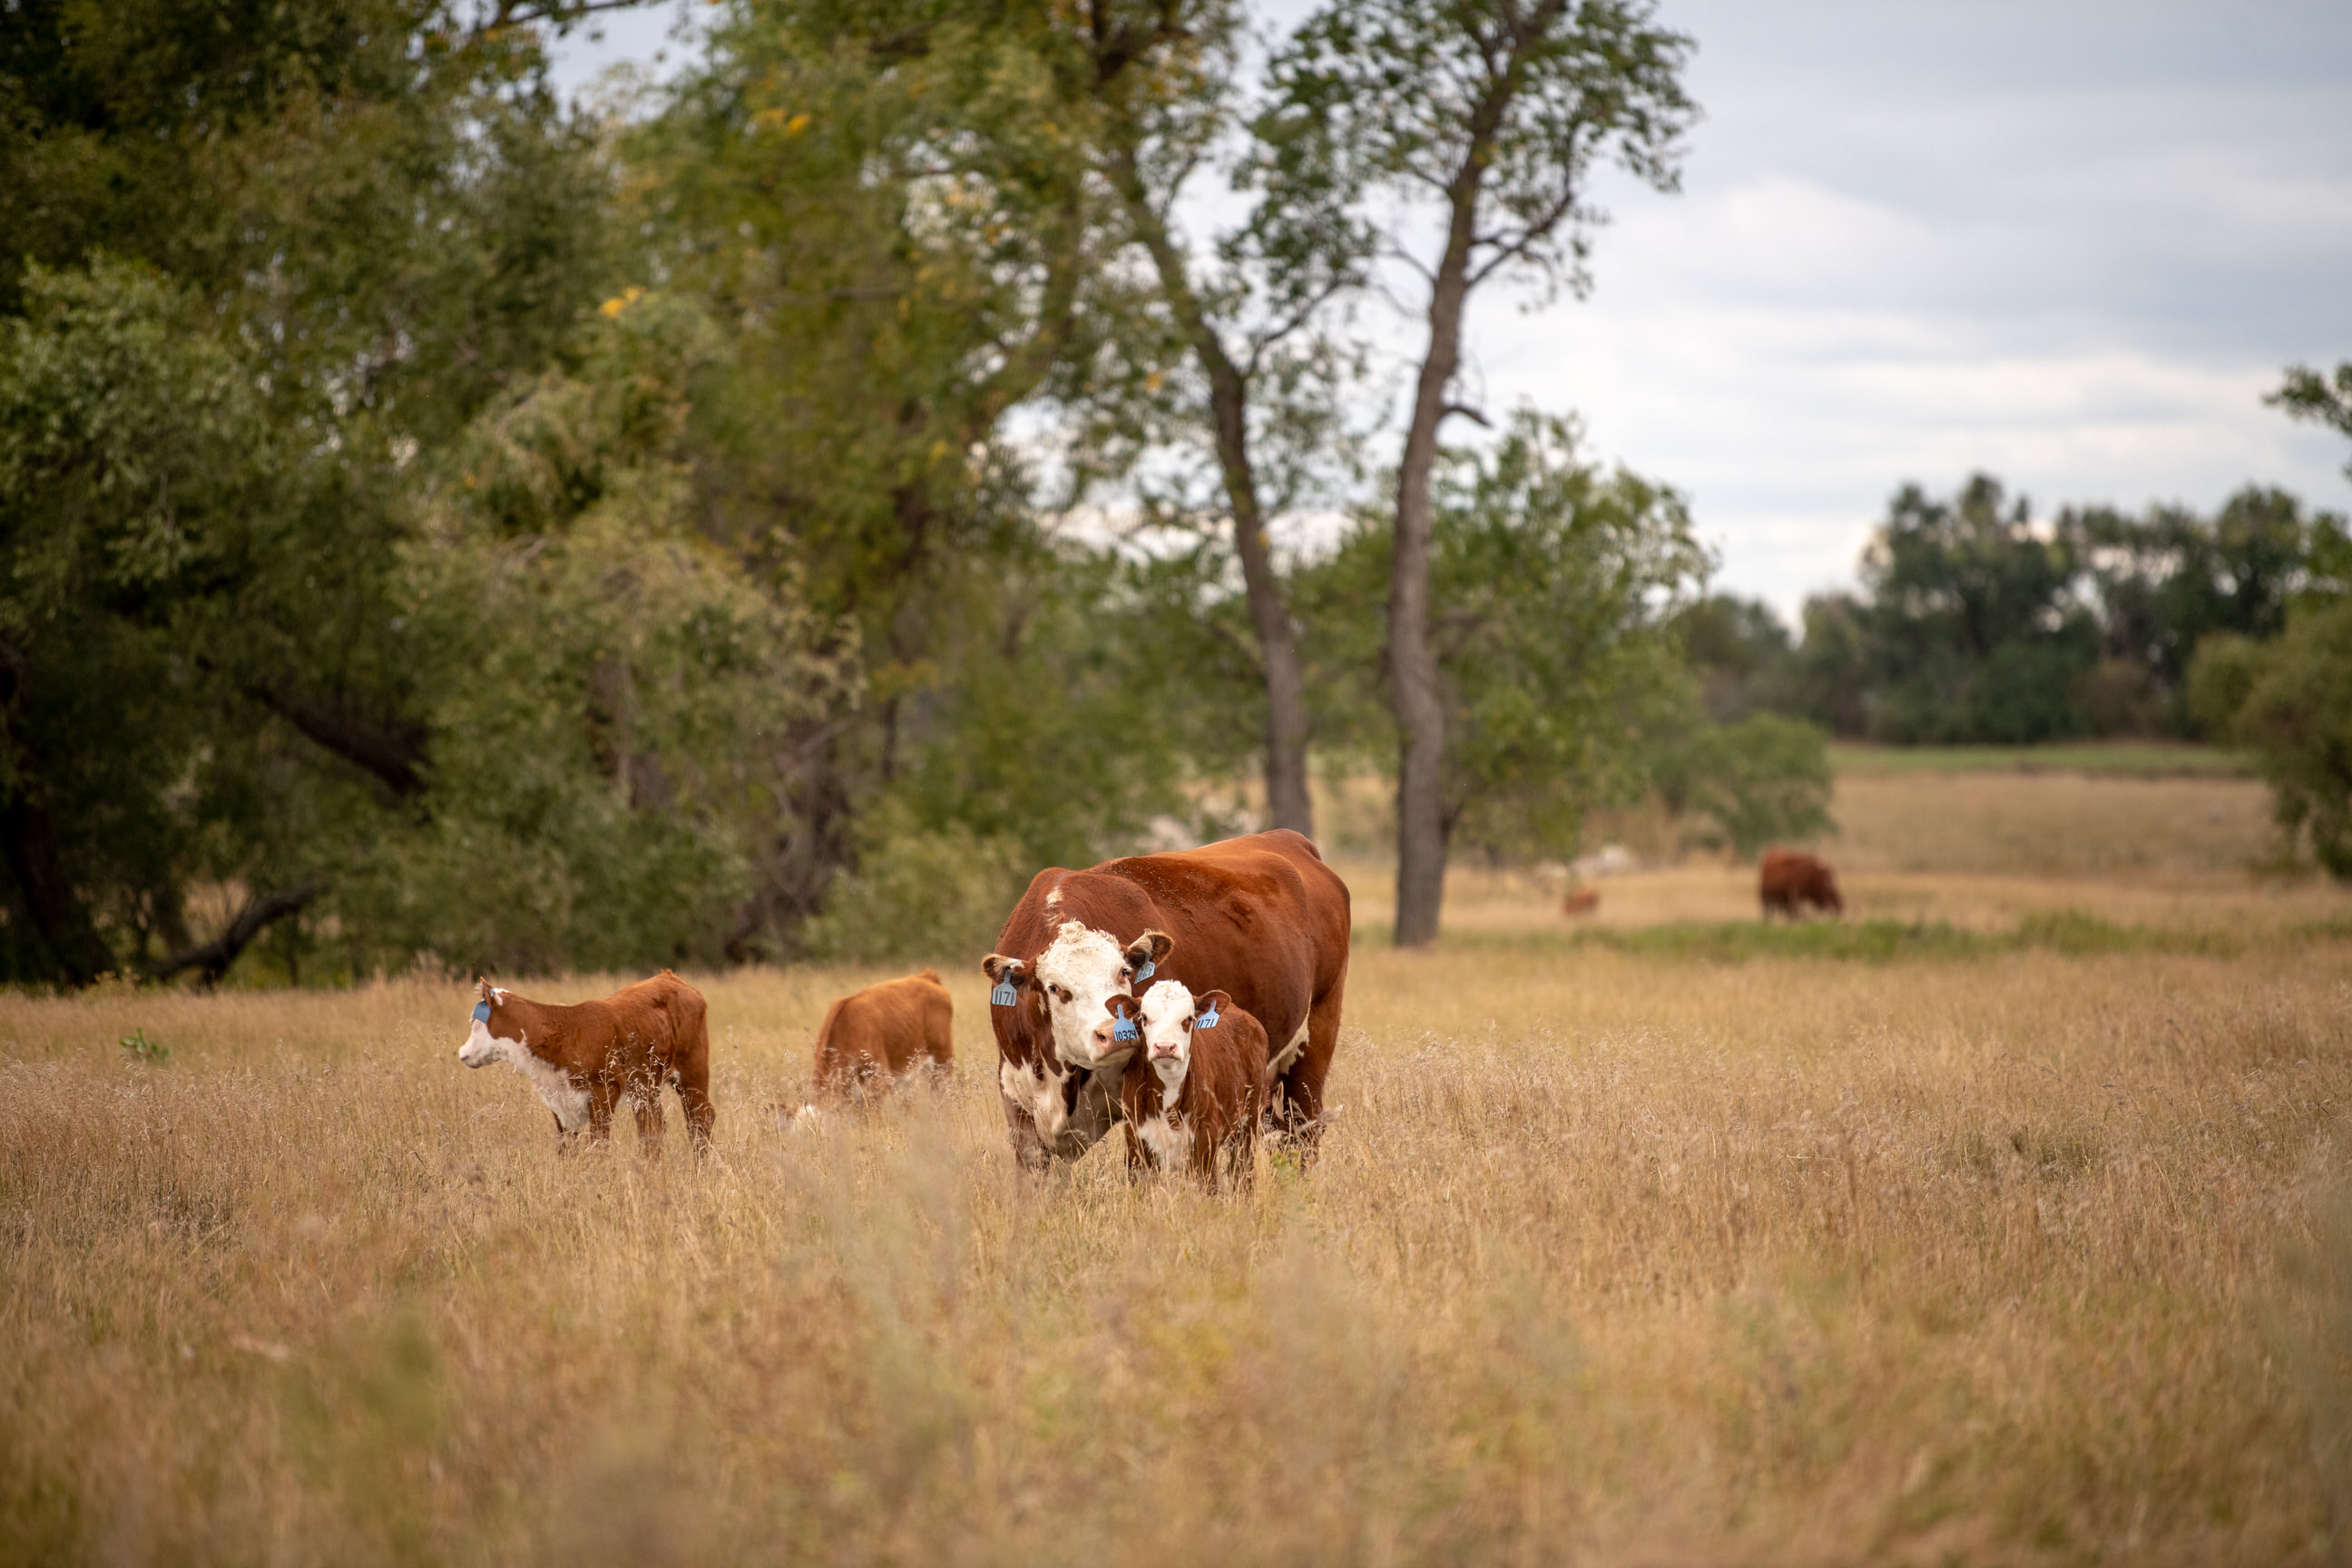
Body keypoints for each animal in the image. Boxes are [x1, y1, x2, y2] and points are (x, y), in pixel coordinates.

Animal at [454, 968, 710, 1152]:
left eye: (474, 1022)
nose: (462, 1053)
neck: (566, 1033)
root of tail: (670, 977)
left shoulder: (605, 1091)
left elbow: (598, 1145)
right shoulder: (559, 1101)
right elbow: (566, 1149)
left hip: (692, 1073)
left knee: (701, 1120)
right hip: (646, 1087)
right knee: (652, 1127)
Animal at [974, 827, 1345, 1171]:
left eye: (1124, 972)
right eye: (1054, 988)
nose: (1115, 1033)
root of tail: (1288, 838)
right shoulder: (1017, 1098)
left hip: (1314, 1045)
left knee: (1304, 1132)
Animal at [1114, 987, 1279, 1194]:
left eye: (1189, 1018)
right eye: (1144, 1017)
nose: (1165, 1047)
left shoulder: (1205, 1134)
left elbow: (1206, 1185)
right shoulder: (1135, 1135)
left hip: (1250, 1121)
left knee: (1242, 1172)